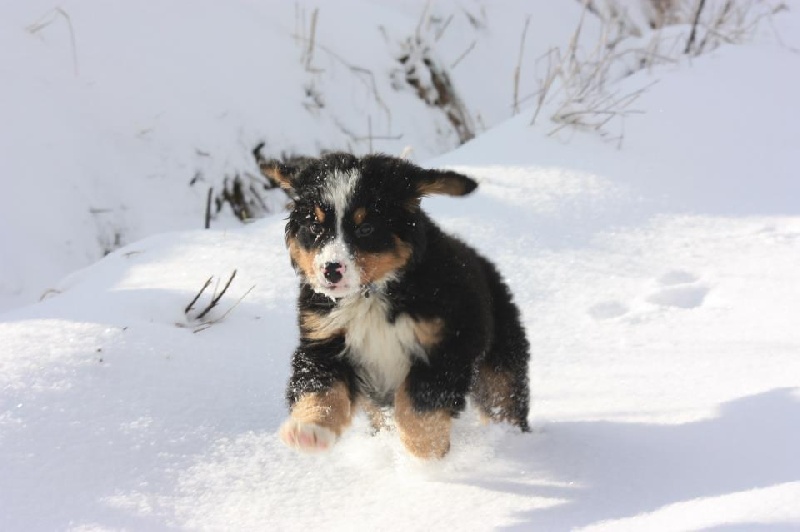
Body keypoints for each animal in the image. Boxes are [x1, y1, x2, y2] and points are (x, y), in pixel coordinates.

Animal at [259, 152, 530, 459]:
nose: (331, 270)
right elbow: (319, 387)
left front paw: (424, 453)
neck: (371, 295)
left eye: (365, 228)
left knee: (504, 400)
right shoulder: (323, 342)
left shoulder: (445, 345)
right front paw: (309, 431)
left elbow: (419, 405)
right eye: (315, 227)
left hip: (500, 360)